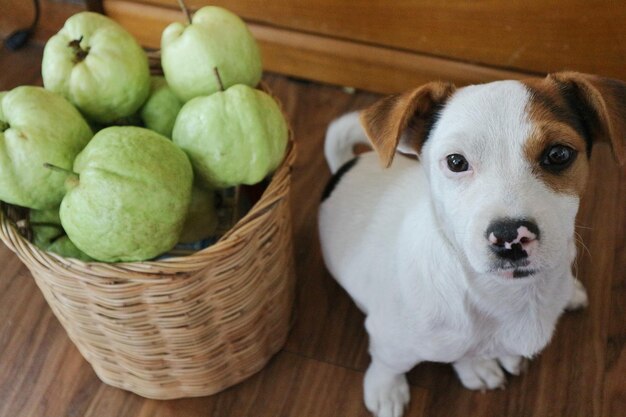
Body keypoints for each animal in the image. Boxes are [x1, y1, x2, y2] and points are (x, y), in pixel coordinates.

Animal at [320, 72, 620, 416]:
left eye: (558, 154)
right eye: (455, 161)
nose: (510, 236)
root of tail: (345, 167)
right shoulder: (390, 338)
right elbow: (389, 363)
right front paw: (386, 389)